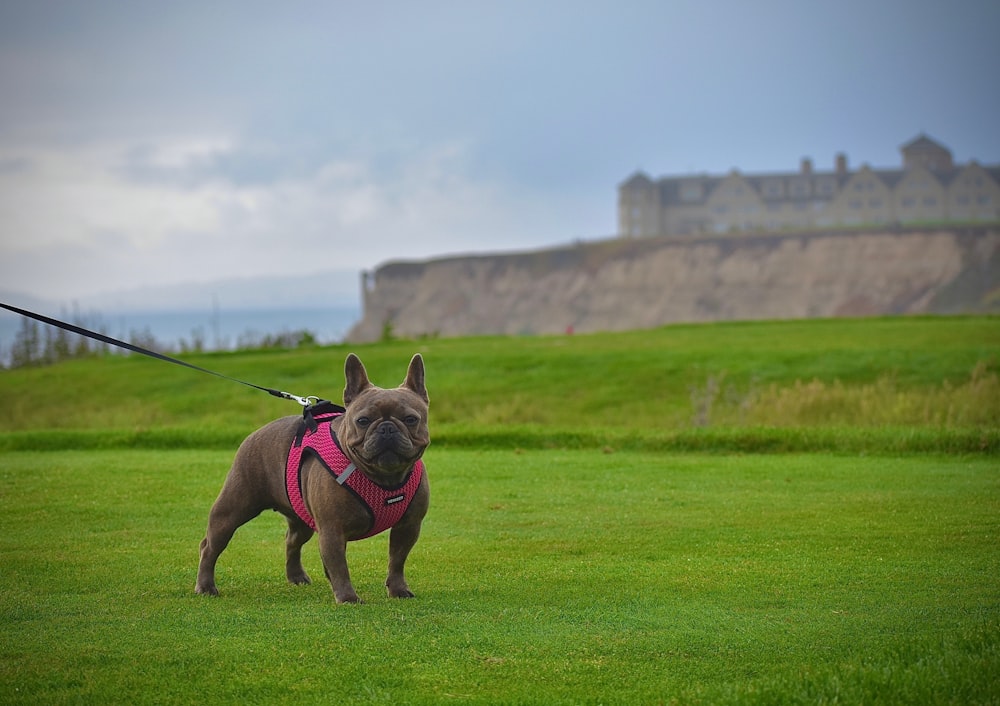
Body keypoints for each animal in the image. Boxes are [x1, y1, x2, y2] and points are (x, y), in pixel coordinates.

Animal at [195, 354, 430, 604]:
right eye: (363, 421)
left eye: (411, 419)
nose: (386, 428)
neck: (384, 477)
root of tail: (255, 433)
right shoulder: (332, 529)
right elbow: (339, 566)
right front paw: (347, 597)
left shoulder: (408, 526)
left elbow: (397, 560)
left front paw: (398, 589)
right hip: (232, 509)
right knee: (210, 546)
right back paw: (206, 586)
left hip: (302, 519)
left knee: (291, 540)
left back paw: (296, 576)